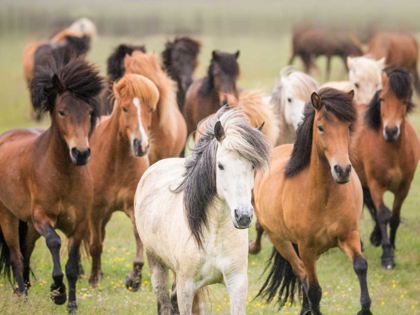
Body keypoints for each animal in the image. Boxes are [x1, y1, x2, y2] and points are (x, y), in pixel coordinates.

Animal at [0, 57, 103, 314]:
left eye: (89, 112)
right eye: (62, 112)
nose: (81, 153)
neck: (63, 175)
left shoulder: (79, 224)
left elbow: (73, 266)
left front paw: (72, 305)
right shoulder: (41, 217)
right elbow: (55, 243)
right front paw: (57, 292)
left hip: (28, 226)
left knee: (26, 253)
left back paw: (24, 292)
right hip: (8, 217)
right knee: (17, 256)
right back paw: (23, 299)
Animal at [87, 74, 159, 292]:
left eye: (149, 109)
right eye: (125, 108)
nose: (141, 145)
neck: (116, 160)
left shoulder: (133, 208)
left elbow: (138, 237)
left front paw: (134, 278)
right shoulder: (94, 211)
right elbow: (95, 245)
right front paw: (93, 279)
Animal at [136, 107, 270, 314]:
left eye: (253, 165)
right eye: (220, 165)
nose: (243, 216)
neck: (213, 233)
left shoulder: (237, 282)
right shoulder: (186, 287)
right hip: (156, 263)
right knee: (165, 304)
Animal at [254, 88, 372, 315]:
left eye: (348, 127)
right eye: (321, 127)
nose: (342, 170)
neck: (323, 198)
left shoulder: (349, 236)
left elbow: (361, 265)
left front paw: (365, 308)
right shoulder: (306, 248)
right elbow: (315, 290)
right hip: (280, 241)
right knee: (301, 274)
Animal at [352, 68, 420, 270]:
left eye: (405, 101)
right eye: (382, 99)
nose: (391, 131)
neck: (393, 151)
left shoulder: (404, 187)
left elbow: (394, 217)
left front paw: (392, 245)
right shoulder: (376, 184)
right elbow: (382, 214)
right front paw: (387, 256)